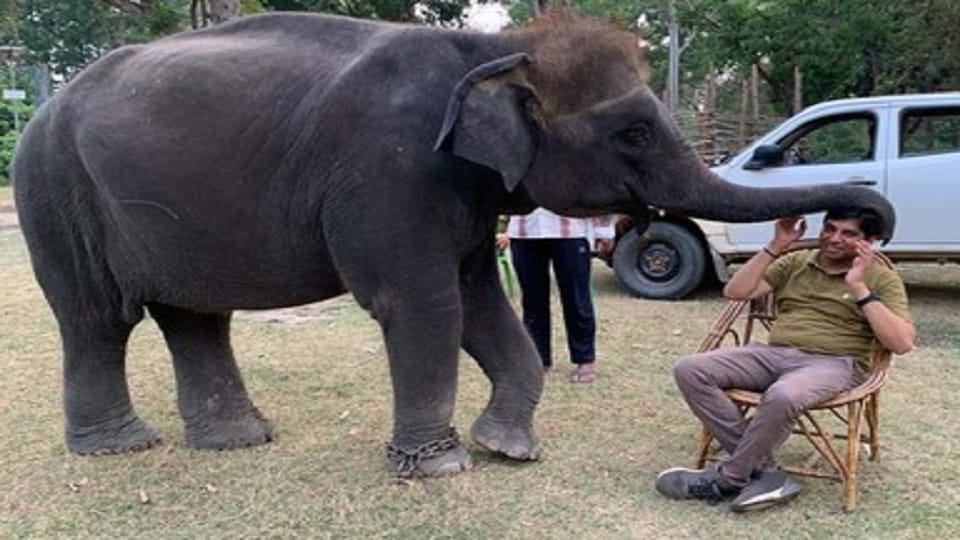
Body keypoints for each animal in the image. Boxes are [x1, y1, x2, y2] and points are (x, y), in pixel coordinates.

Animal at [13, 11, 894, 477]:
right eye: (636, 132)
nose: (870, 219)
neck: (492, 48)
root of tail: (42, 109)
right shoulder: (392, 173)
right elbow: (423, 303)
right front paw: (439, 468)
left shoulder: (464, 194)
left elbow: (479, 304)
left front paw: (508, 451)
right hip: (54, 191)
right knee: (98, 319)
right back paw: (120, 448)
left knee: (194, 316)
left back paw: (236, 442)